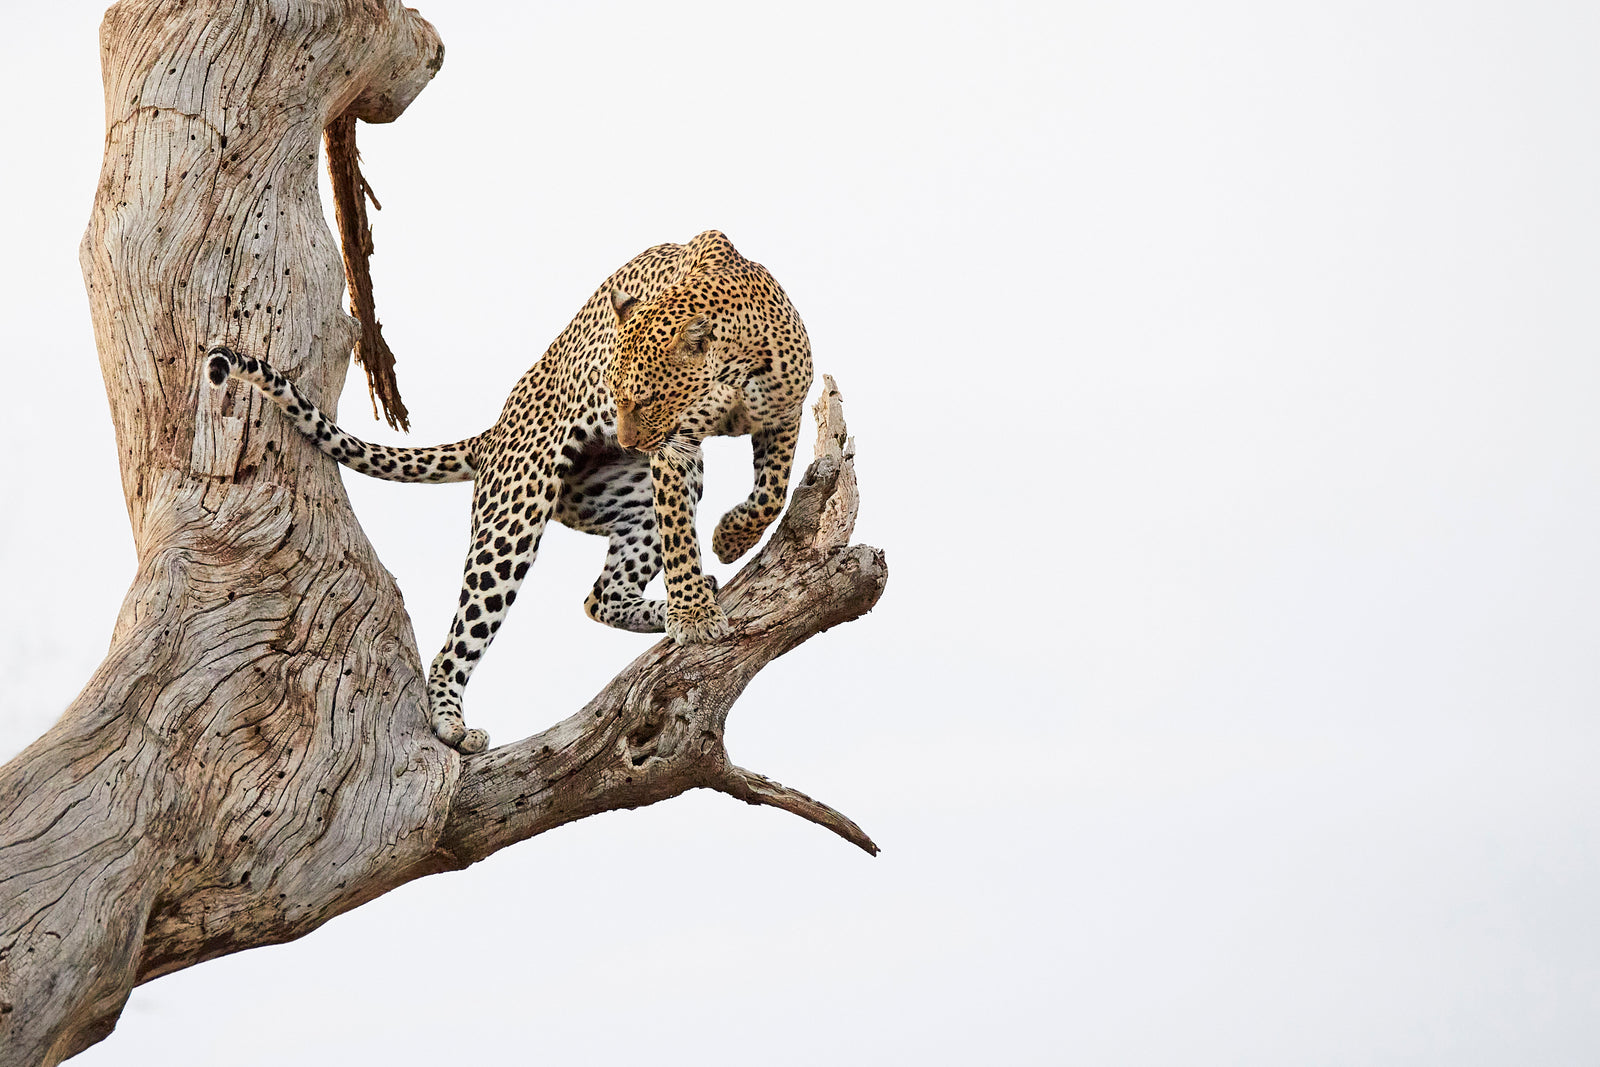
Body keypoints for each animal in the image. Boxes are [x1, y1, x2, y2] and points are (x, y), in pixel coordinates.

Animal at [207, 230, 812, 754]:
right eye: (614, 392)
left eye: (644, 399)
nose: (626, 441)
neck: (734, 368)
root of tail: (494, 431)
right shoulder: (675, 453)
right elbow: (682, 536)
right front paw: (694, 612)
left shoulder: (784, 414)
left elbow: (773, 490)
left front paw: (732, 540)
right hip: (515, 516)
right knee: (457, 645)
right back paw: (452, 725)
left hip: (629, 501)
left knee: (600, 596)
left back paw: (671, 602)